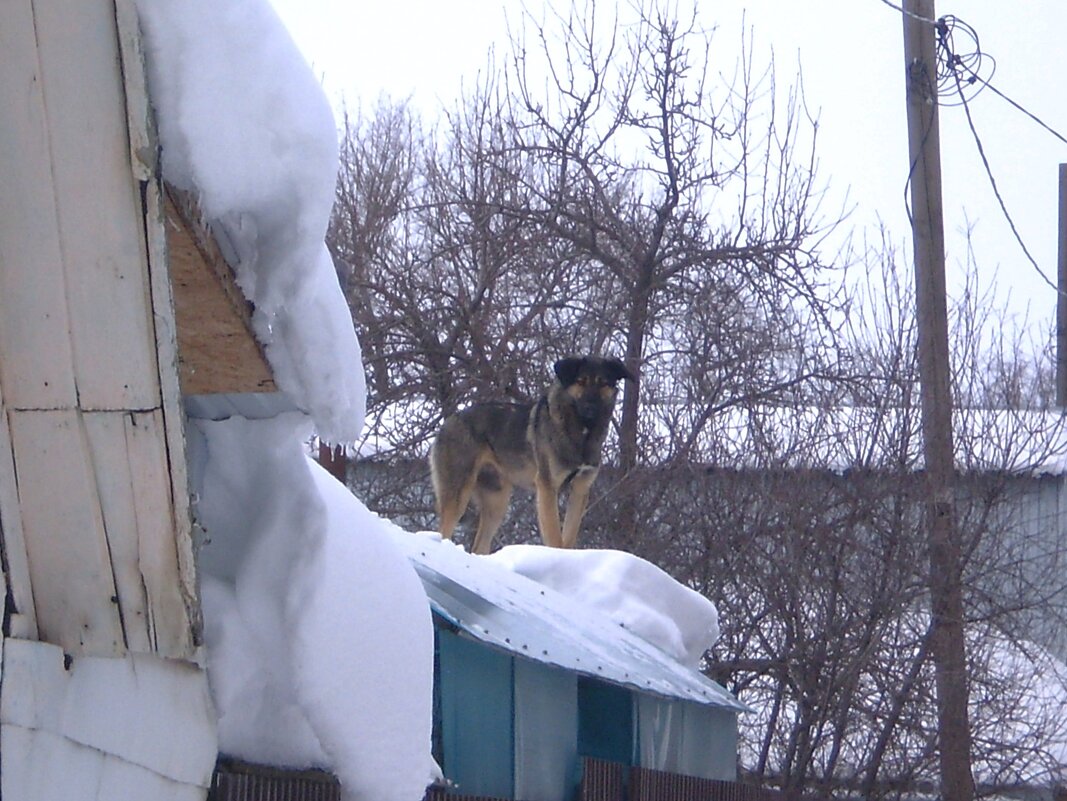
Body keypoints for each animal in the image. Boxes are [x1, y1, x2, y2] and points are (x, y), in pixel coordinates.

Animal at [431, 358, 631, 554]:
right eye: (581, 381)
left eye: (603, 383)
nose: (591, 408)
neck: (581, 431)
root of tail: (447, 423)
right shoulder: (547, 486)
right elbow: (554, 535)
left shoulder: (580, 489)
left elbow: (569, 535)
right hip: (457, 493)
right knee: (444, 531)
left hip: (497, 500)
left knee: (479, 546)